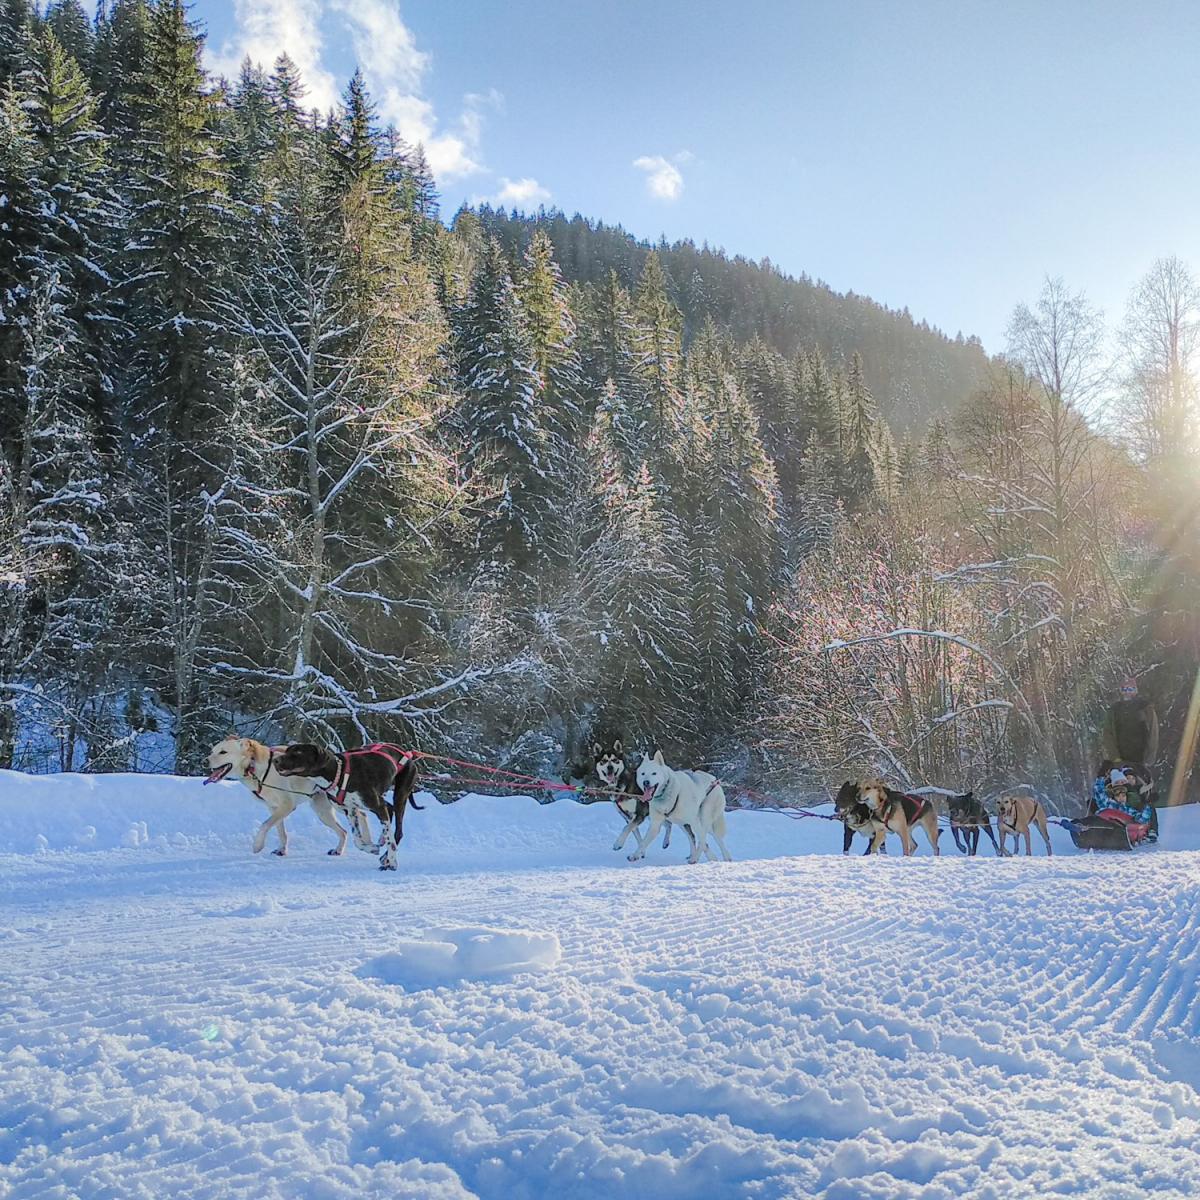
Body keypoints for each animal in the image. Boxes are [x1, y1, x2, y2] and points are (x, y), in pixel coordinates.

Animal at [204, 734, 348, 859]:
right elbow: (281, 832)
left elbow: (265, 825)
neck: (254, 768)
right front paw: (281, 850)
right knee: (343, 831)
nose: (204, 761)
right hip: (322, 812)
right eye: (211, 751)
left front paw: (257, 845)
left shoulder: (287, 805)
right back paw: (338, 850)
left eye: (223, 752)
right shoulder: (274, 807)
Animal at [274, 739, 424, 873]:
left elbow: (390, 841)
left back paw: (386, 858)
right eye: (287, 750)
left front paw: (392, 864)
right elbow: (357, 840)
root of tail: (408, 755)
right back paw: (381, 841)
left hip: (400, 795)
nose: (275, 760)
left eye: (298, 752)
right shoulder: (351, 810)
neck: (338, 773)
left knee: (397, 831)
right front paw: (372, 848)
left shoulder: (377, 807)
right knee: (390, 810)